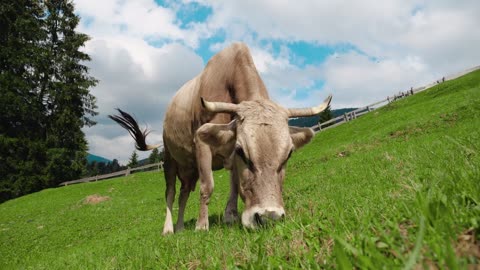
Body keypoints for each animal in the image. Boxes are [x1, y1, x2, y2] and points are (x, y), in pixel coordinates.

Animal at [110, 42, 332, 234]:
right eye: (243, 151)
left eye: (288, 155)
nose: (269, 217)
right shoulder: (203, 144)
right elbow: (208, 186)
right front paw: (201, 225)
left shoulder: (229, 153)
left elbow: (234, 184)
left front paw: (230, 216)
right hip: (169, 160)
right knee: (171, 193)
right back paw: (169, 229)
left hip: (190, 170)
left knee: (183, 194)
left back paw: (181, 227)